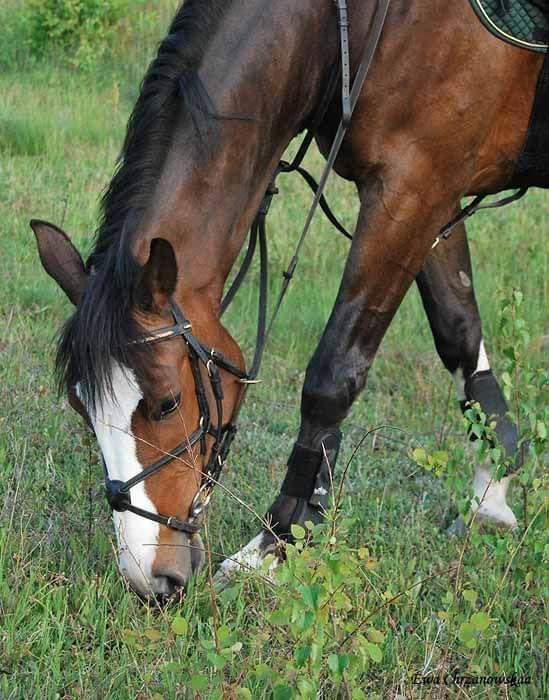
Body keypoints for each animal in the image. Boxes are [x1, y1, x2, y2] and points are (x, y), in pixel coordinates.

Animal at [28, 0, 544, 600]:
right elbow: (458, 328)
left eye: (167, 403)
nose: (150, 580)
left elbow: (331, 377)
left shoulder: (412, 185)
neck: (355, 25)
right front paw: (494, 483)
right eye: (81, 408)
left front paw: (275, 543)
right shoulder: (436, 187)